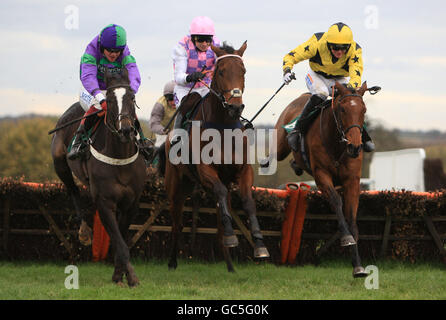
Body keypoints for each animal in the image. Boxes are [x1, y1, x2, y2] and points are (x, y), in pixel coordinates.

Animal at [50, 69, 145, 286]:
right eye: (109, 100)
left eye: (132, 97)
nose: (125, 130)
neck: (120, 157)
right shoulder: (105, 202)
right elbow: (119, 242)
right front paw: (130, 277)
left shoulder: (131, 203)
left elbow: (120, 238)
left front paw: (120, 274)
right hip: (60, 162)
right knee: (72, 189)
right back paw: (84, 232)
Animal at [163, 42, 270, 272]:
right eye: (221, 71)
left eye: (243, 71)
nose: (235, 106)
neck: (223, 128)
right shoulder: (206, 170)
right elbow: (220, 192)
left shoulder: (243, 170)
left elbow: (248, 202)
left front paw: (259, 245)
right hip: (175, 185)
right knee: (177, 222)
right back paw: (172, 261)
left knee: (221, 220)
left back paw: (230, 264)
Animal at [272, 82, 376, 278]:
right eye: (342, 109)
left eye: (364, 110)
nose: (355, 147)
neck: (337, 145)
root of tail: (303, 96)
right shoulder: (321, 175)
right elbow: (336, 202)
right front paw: (346, 238)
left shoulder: (352, 181)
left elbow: (351, 215)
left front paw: (357, 265)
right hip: (280, 145)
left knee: (294, 161)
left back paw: (296, 165)